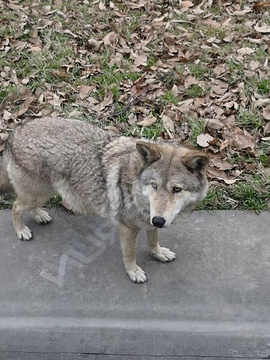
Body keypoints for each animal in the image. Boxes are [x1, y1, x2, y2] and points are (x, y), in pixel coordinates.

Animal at [0, 116, 209, 282]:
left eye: (176, 189)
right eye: (154, 185)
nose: (158, 220)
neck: (134, 183)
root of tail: (14, 133)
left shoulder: (149, 223)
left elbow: (153, 241)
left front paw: (158, 253)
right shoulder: (128, 229)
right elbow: (130, 254)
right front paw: (133, 272)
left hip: (43, 194)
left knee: (27, 207)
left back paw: (39, 216)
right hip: (36, 195)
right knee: (15, 207)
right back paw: (21, 231)